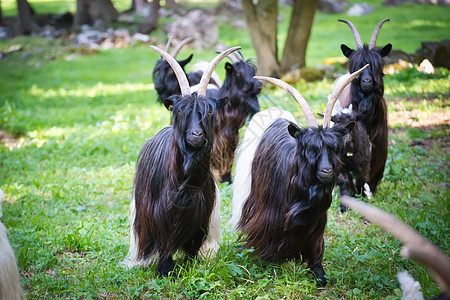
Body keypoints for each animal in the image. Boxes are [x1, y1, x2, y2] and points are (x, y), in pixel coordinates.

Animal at [121, 45, 241, 276]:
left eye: (209, 112)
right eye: (180, 111)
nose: (196, 134)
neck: (187, 182)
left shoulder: (202, 214)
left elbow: (194, 243)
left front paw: (190, 265)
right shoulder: (161, 214)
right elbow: (165, 242)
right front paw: (165, 270)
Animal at [212, 50, 264, 183]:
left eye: (253, 71)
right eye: (238, 73)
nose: (259, 85)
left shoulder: (231, 142)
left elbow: (228, 163)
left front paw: (227, 181)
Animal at [230, 65, 368, 286]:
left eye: (334, 147)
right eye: (309, 148)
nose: (326, 171)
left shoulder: (316, 223)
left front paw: (319, 275)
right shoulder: (268, 215)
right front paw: (268, 261)